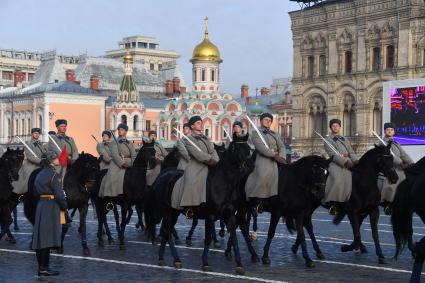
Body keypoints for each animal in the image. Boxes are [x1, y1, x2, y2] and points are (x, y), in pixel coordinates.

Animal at [147, 134, 255, 276]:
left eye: (248, 148)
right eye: (237, 148)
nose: (250, 166)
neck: (222, 184)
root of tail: (162, 176)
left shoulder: (230, 216)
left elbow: (234, 237)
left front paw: (239, 264)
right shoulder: (210, 216)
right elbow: (207, 239)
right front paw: (205, 263)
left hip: (173, 212)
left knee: (167, 231)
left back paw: (167, 258)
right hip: (168, 212)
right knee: (167, 231)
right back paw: (173, 258)